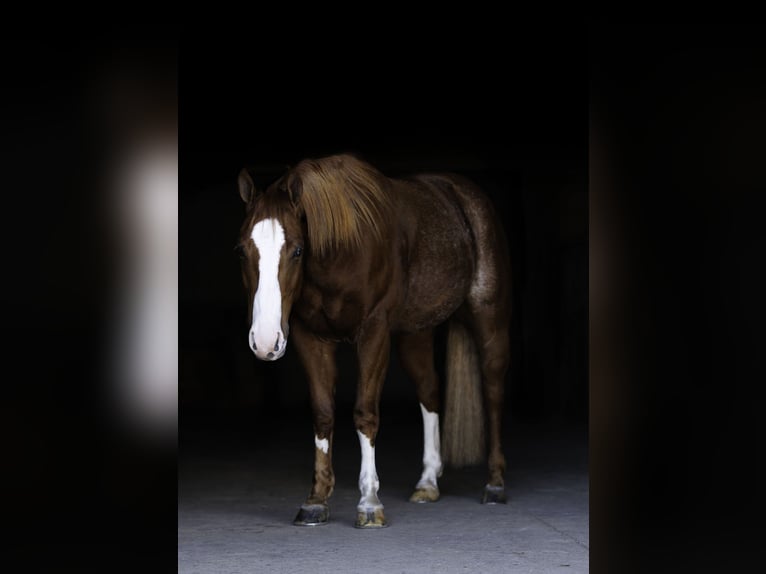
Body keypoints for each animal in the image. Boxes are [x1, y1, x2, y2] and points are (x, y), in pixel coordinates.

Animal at [236, 153, 511, 528]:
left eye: (297, 251)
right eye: (242, 251)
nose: (265, 342)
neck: (342, 251)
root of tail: (465, 194)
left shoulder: (374, 333)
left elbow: (365, 412)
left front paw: (369, 502)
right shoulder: (310, 337)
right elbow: (323, 413)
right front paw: (316, 500)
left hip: (488, 317)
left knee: (493, 392)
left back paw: (495, 484)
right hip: (414, 334)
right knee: (430, 391)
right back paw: (427, 482)